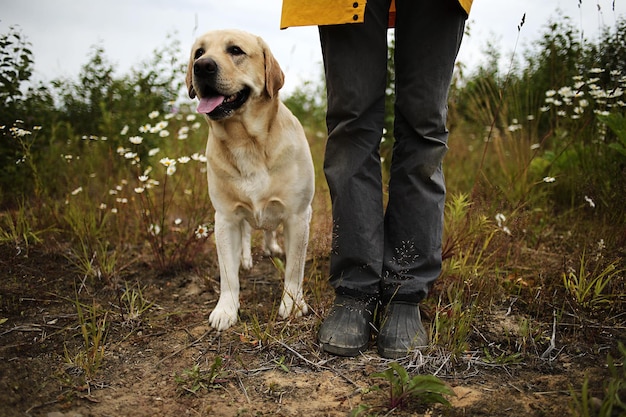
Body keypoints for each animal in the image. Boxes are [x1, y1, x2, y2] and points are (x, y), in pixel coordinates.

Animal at [184, 29, 312, 330]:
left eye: (235, 50)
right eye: (198, 52)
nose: (202, 67)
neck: (245, 142)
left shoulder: (298, 216)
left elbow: (294, 269)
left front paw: (292, 304)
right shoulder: (225, 218)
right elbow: (227, 274)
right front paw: (226, 309)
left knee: (269, 230)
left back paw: (272, 247)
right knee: (246, 235)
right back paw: (246, 258)